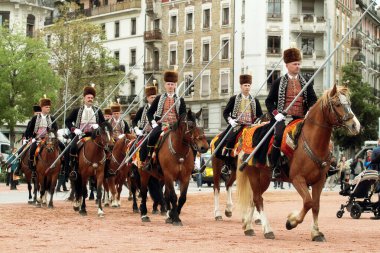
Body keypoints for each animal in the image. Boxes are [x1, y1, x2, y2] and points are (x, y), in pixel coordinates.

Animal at [236, 84, 360, 240]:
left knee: (254, 199)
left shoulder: (319, 181)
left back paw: (248, 227)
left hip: (263, 179)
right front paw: (291, 221)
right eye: (338, 104)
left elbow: (316, 205)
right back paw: (268, 230)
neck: (312, 142)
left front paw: (316, 233)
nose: (355, 125)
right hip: (256, 175)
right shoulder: (297, 179)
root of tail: (247, 132)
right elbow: (308, 202)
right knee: (258, 199)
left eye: (349, 103)